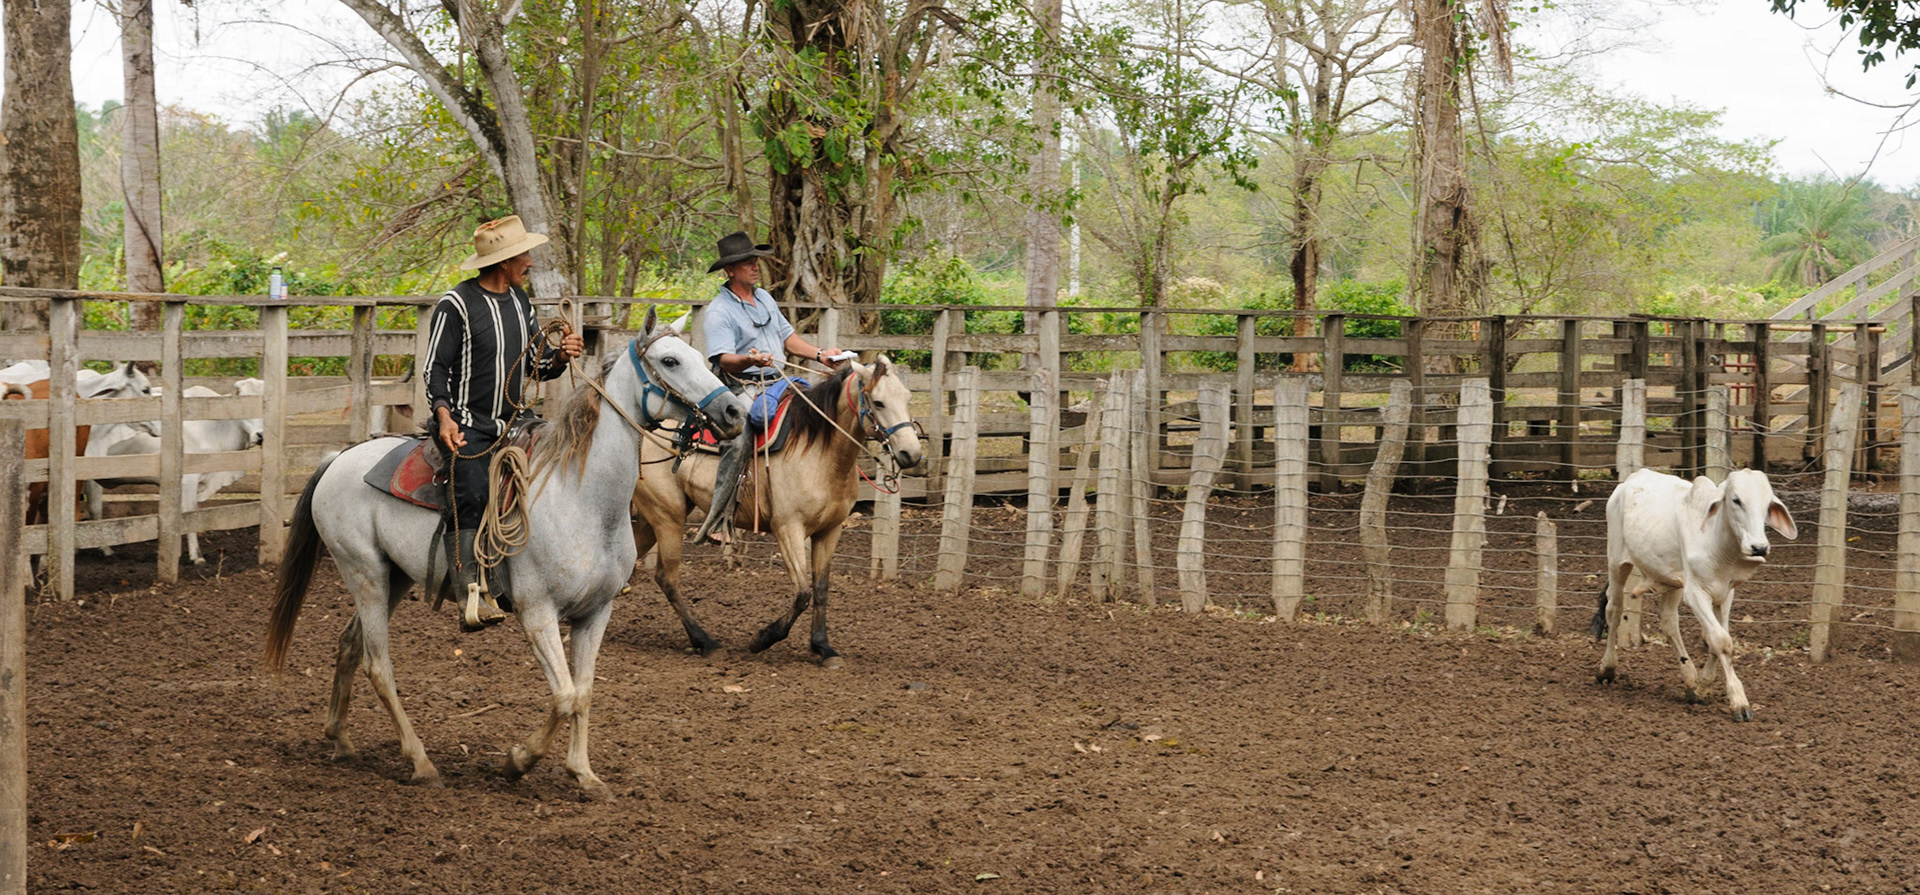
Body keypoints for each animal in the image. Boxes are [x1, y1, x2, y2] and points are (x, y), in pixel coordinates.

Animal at [85, 378, 266, 564]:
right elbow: (189, 515)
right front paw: (196, 556)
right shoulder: (188, 481)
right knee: (95, 509)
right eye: (245, 401)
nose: (261, 435)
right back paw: (105, 549)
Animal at [1594, 468, 1798, 722]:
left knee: (1668, 621)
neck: (1719, 546)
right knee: (1614, 609)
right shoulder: (1695, 594)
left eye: (1768, 503)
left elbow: (1715, 638)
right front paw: (1739, 702)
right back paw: (1607, 668)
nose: (1759, 547)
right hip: (1616, 562)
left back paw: (1689, 679)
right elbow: (1721, 640)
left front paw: (1702, 687)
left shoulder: (1726, 593)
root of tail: (1631, 479)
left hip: (1672, 580)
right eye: (1736, 500)